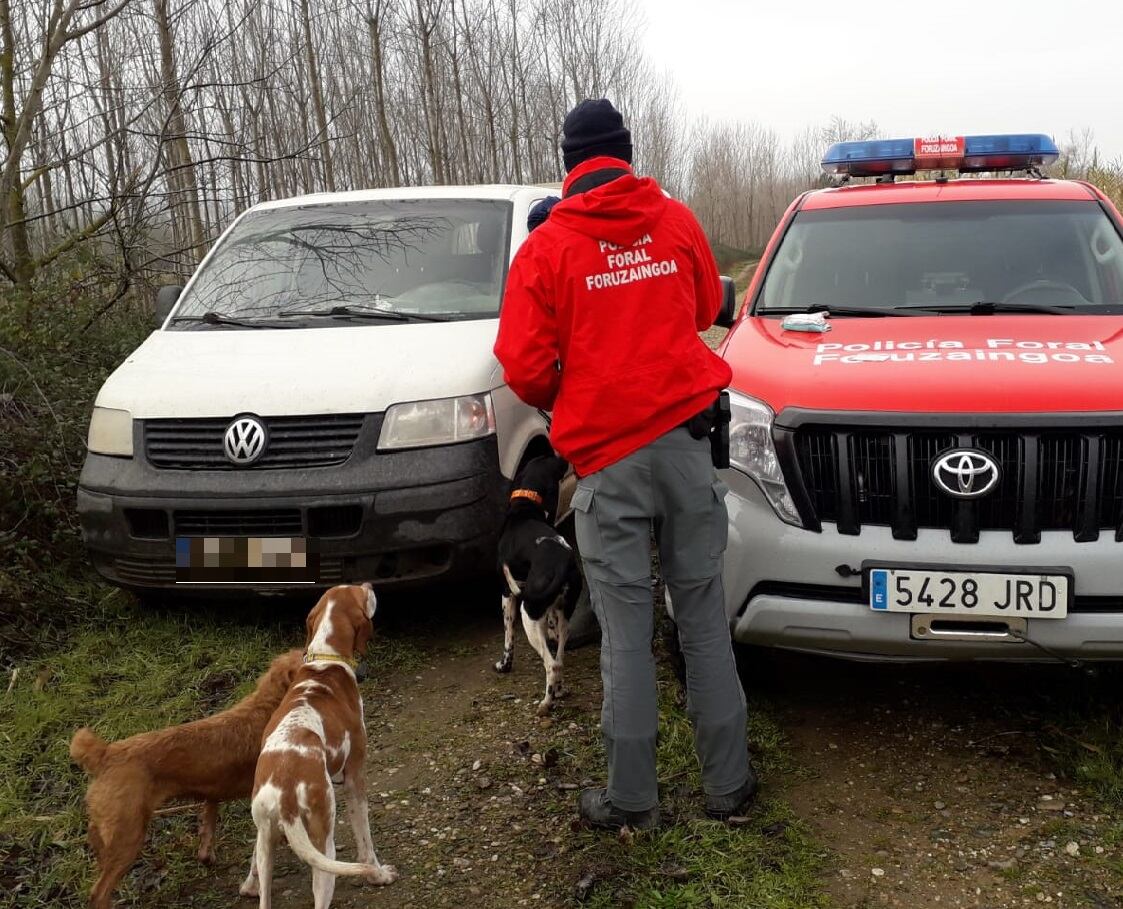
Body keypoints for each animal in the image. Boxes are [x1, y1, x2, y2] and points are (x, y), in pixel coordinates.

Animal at [72, 647, 305, 903]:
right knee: (99, 893)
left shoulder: (213, 794)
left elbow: (209, 826)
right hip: (127, 839)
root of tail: (105, 753)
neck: (267, 703)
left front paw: (207, 856)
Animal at [244, 579, 395, 907]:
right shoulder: (355, 777)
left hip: (268, 843)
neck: (325, 662)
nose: (369, 583)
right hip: (323, 842)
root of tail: (285, 796)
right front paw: (378, 875)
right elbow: (365, 841)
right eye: (361, 593)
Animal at [500, 458, 588, 714]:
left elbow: (508, 635)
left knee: (552, 665)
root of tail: (562, 563)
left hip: (528, 614)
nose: (565, 459)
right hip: (563, 616)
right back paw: (559, 690)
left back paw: (546, 703)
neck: (525, 509)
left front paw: (504, 665)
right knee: (559, 658)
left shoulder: (507, 592)